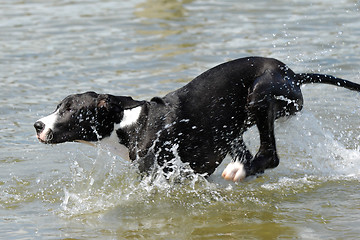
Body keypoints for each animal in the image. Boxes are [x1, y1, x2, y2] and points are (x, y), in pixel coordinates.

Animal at [33, 57, 360, 181]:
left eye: (68, 109)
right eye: (58, 106)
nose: (38, 125)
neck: (130, 124)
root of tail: (292, 74)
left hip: (259, 95)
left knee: (269, 154)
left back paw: (242, 170)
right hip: (232, 125)